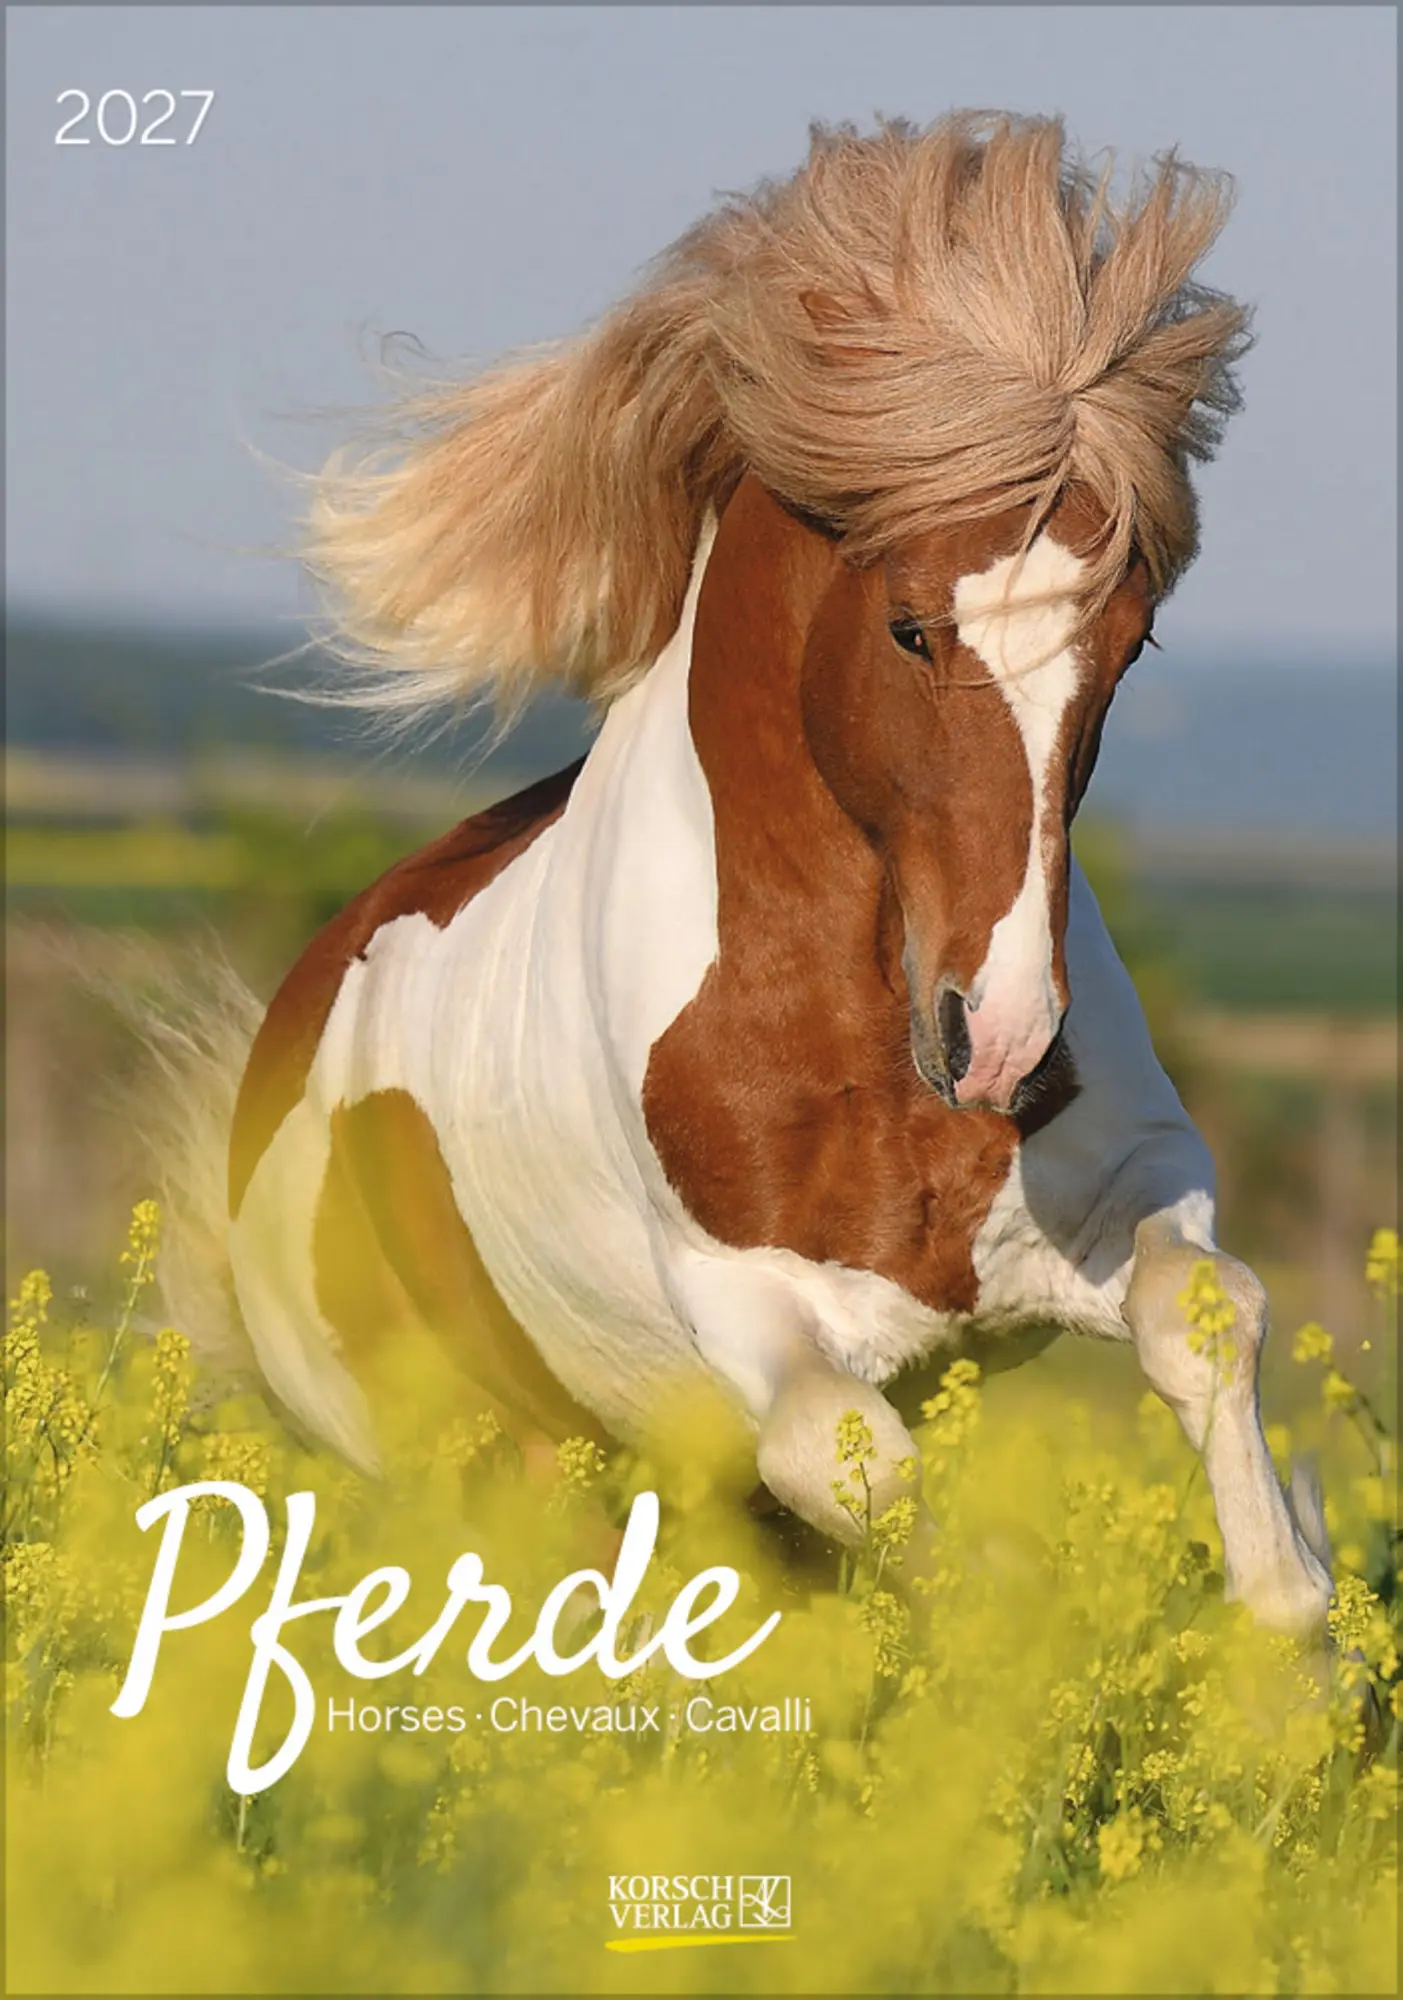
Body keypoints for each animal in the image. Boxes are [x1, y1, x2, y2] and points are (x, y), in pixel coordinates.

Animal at [225, 112, 1332, 1636]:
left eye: (1132, 640)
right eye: (911, 627)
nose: (997, 1043)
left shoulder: (1126, 1184)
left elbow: (1204, 1313)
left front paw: (1292, 1630)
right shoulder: (741, 1305)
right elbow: (846, 1457)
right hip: (435, 1452)